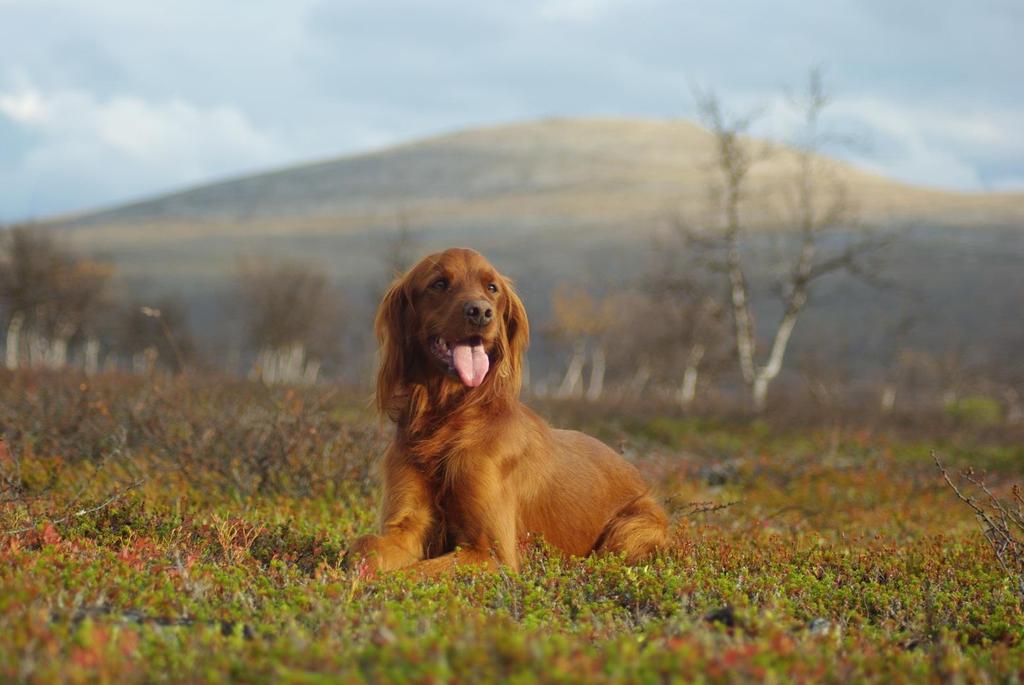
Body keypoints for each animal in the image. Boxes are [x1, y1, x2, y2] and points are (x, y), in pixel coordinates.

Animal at [348, 248, 667, 573]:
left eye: (492, 288)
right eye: (439, 283)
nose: (480, 312)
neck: (448, 417)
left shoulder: (491, 552)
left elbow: (415, 573)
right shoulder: (408, 527)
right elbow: (364, 546)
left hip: (632, 527)